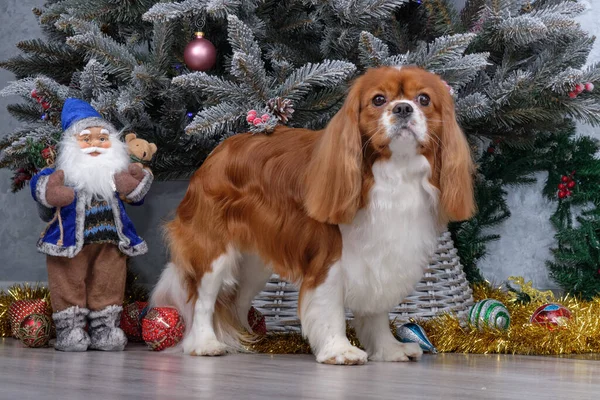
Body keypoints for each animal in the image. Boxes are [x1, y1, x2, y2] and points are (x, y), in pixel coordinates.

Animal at [152, 66, 476, 366]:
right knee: (202, 299)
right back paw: (204, 344)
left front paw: (388, 349)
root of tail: (216, 152)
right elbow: (329, 306)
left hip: (253, 265)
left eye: (424, 99)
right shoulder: (329, 257)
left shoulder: (379, 255)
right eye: (379, 100)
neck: (394, 171)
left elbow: (376, 312)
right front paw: (339, 350)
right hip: (213, 250)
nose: (403, 108)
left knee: (235, 303)